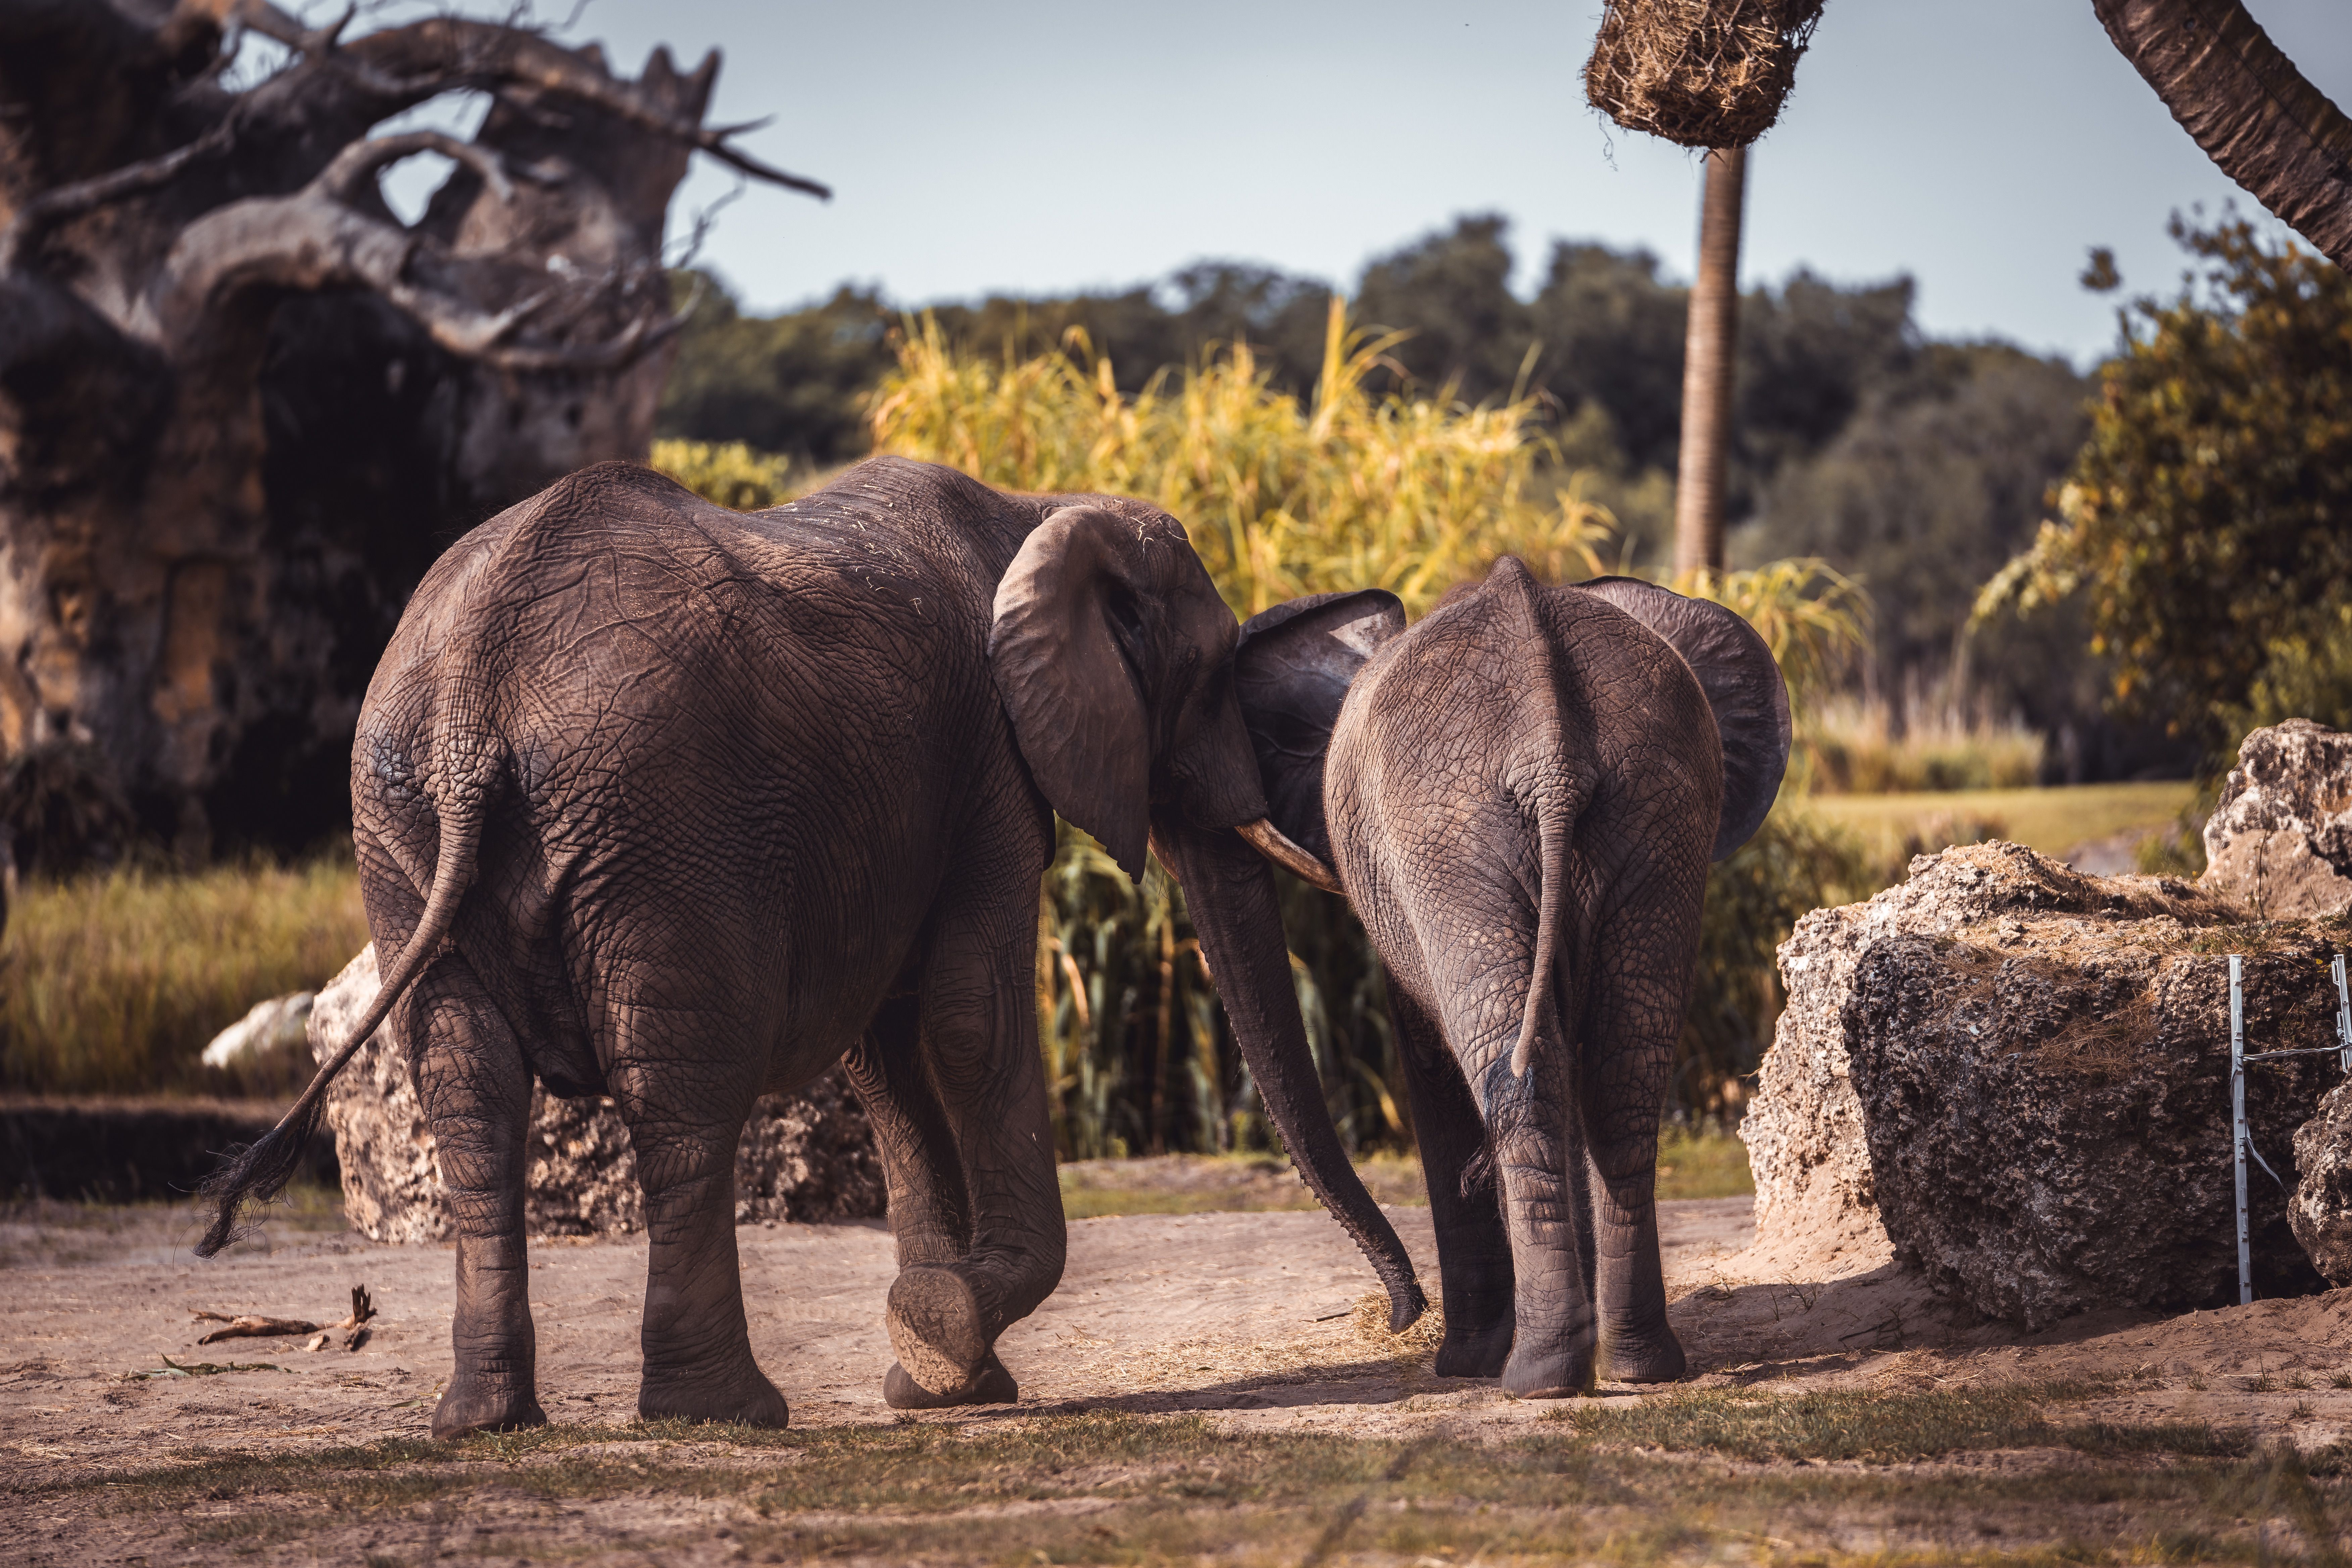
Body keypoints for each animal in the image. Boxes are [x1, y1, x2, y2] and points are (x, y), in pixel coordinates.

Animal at [199, 454, 1424, 1437]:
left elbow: (884, 1056)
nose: (1401, 1315)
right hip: (657, 819)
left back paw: (486, 1422)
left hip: (401, 824)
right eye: (1212, 673)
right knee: (682, 1093)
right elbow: (969, 1017)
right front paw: (942, 1336)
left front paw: (943, 1379)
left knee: (468, 1091)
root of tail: (468, 706)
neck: (1037, 509)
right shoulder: (987, 763)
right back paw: (723, 1413)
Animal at [1231, 556, 1787, 1397]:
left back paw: (1535, 1374)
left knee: (1514, 1070)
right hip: (1650, 815)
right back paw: (1634, 1364)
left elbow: (1430, 1067)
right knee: (1620, 1076)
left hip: (1455, 842)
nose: (1395, 1319)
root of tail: (1551, 751)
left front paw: (1462, 1363)